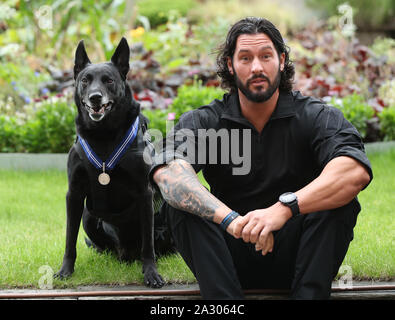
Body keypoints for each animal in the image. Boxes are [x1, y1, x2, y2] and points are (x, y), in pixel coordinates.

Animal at [54, 37, 166, 288]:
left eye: (109, 80)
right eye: (85, 80)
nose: (95, 97)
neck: (103, 135)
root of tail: (125, 252)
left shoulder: (145, 193)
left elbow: (148, 245)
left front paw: (151, 273)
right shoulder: (74, 194)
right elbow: (69, 238)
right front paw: (65, 271)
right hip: (88, 214)